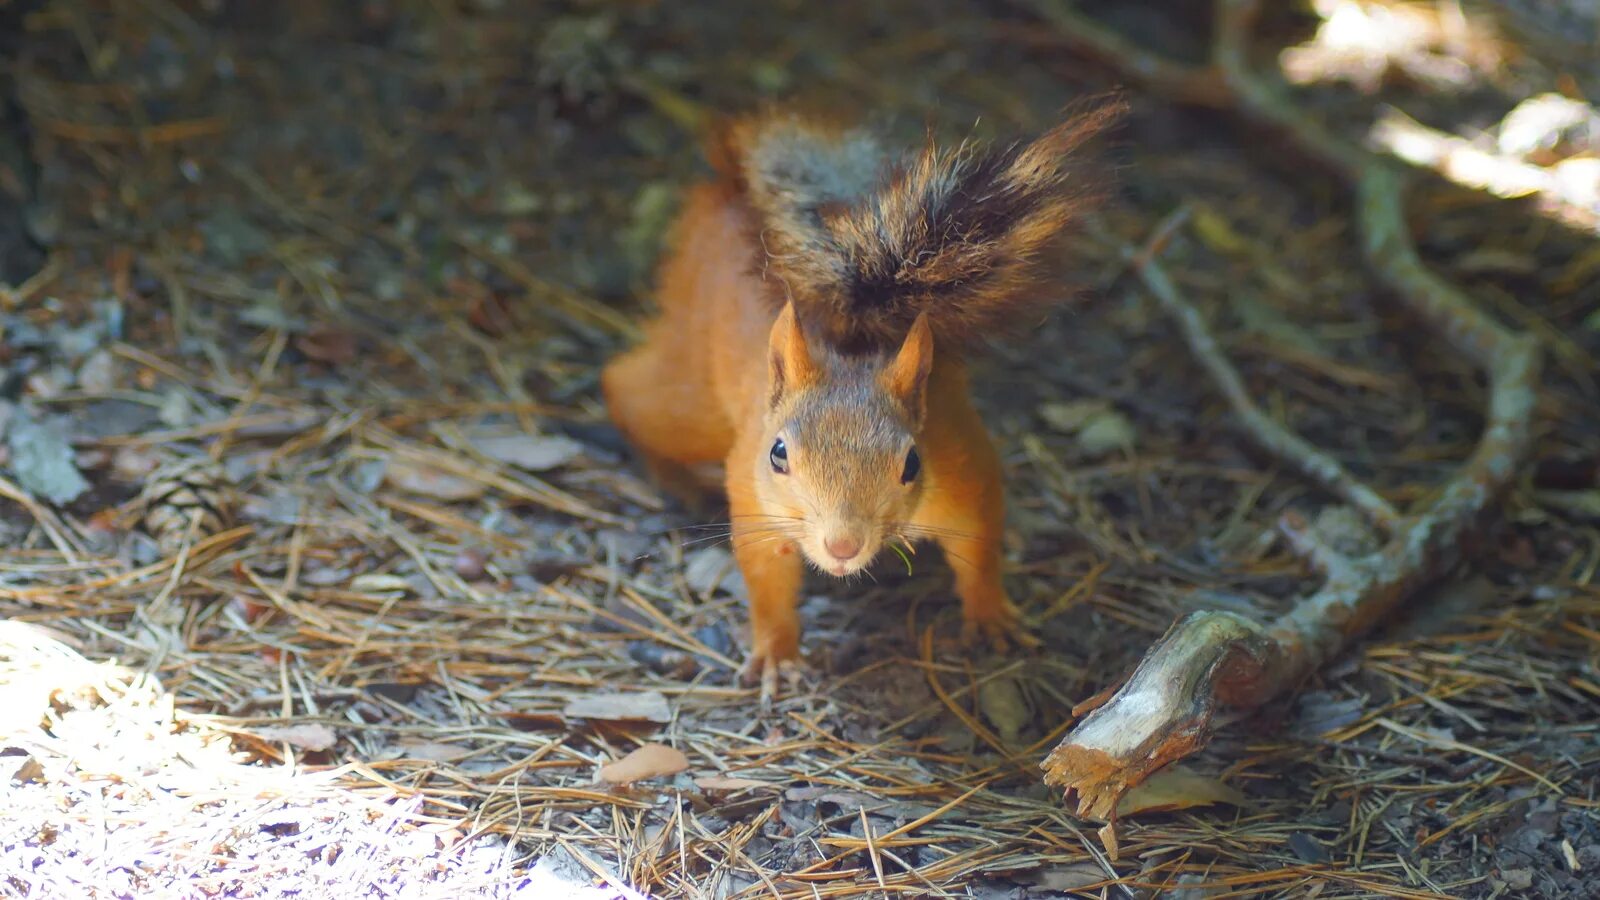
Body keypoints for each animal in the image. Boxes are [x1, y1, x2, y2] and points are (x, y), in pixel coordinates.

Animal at [601, 103, 1126, 695]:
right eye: (777, 454)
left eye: (912, 463)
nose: (843, 547)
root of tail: (730, 191)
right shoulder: (754, 493)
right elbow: (765, 574)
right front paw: (777, 652)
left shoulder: (961, 465)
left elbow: (979, 543)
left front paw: (992, 615)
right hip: (694, 396)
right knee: (624, 387)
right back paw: (672, 474)